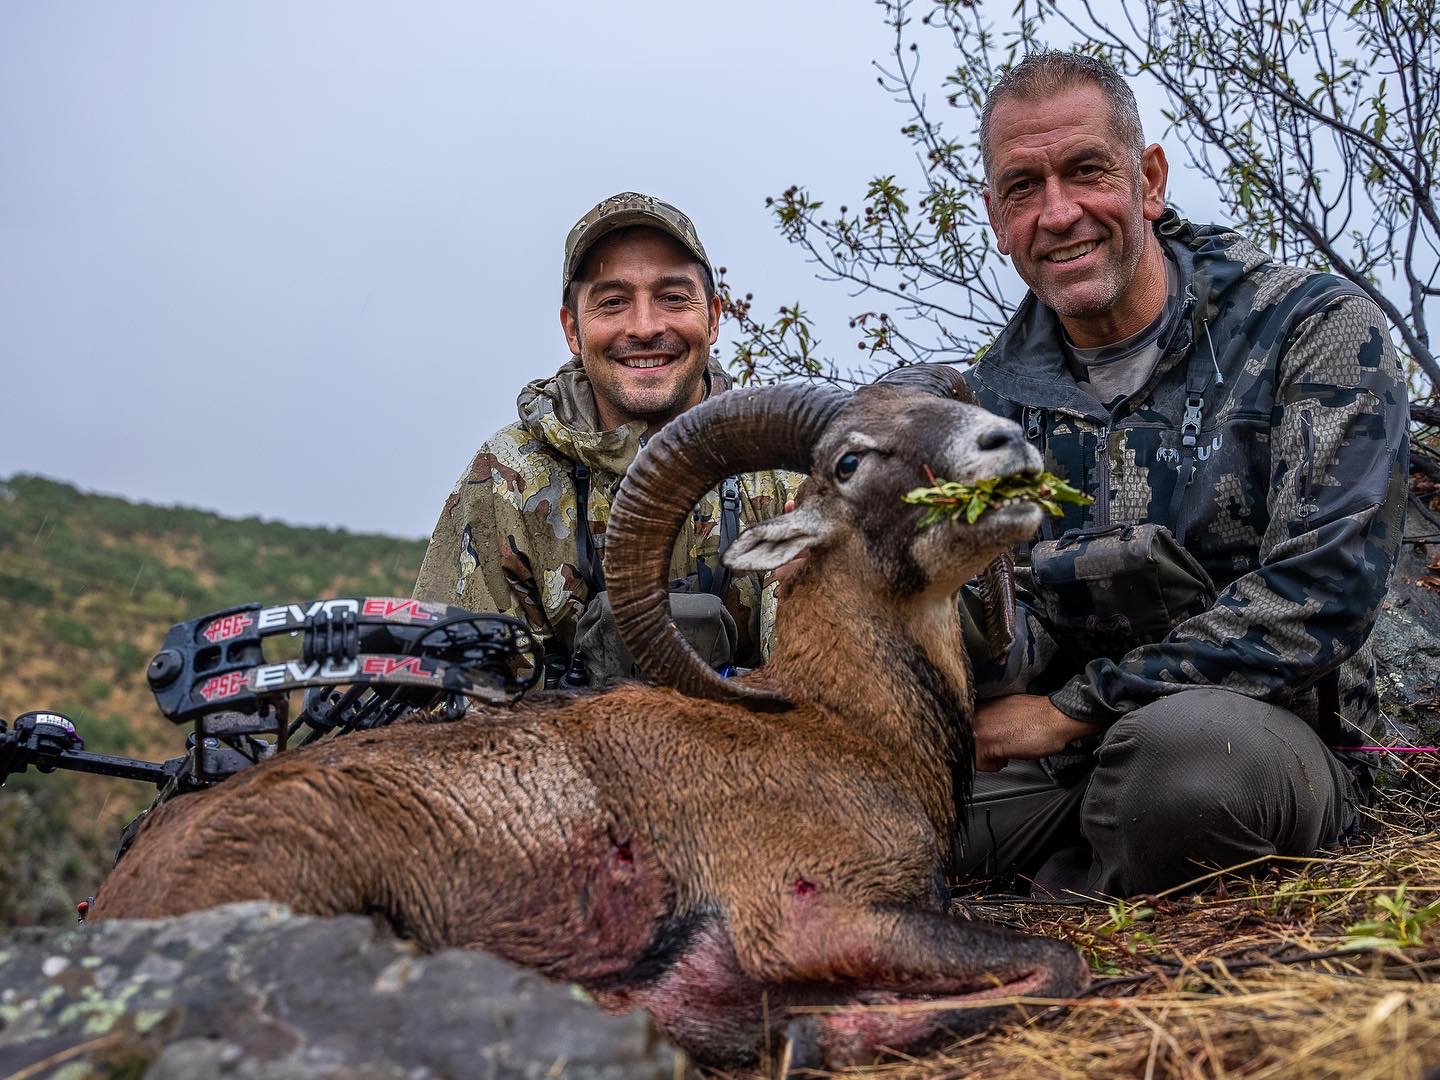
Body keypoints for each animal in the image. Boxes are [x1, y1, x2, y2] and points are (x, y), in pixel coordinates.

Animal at [93, 368, 1088, 1072]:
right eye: (848, 461)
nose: (1006, 446)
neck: (842, 723)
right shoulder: (817, 914)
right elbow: (1060, 967)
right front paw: (791, 1031)